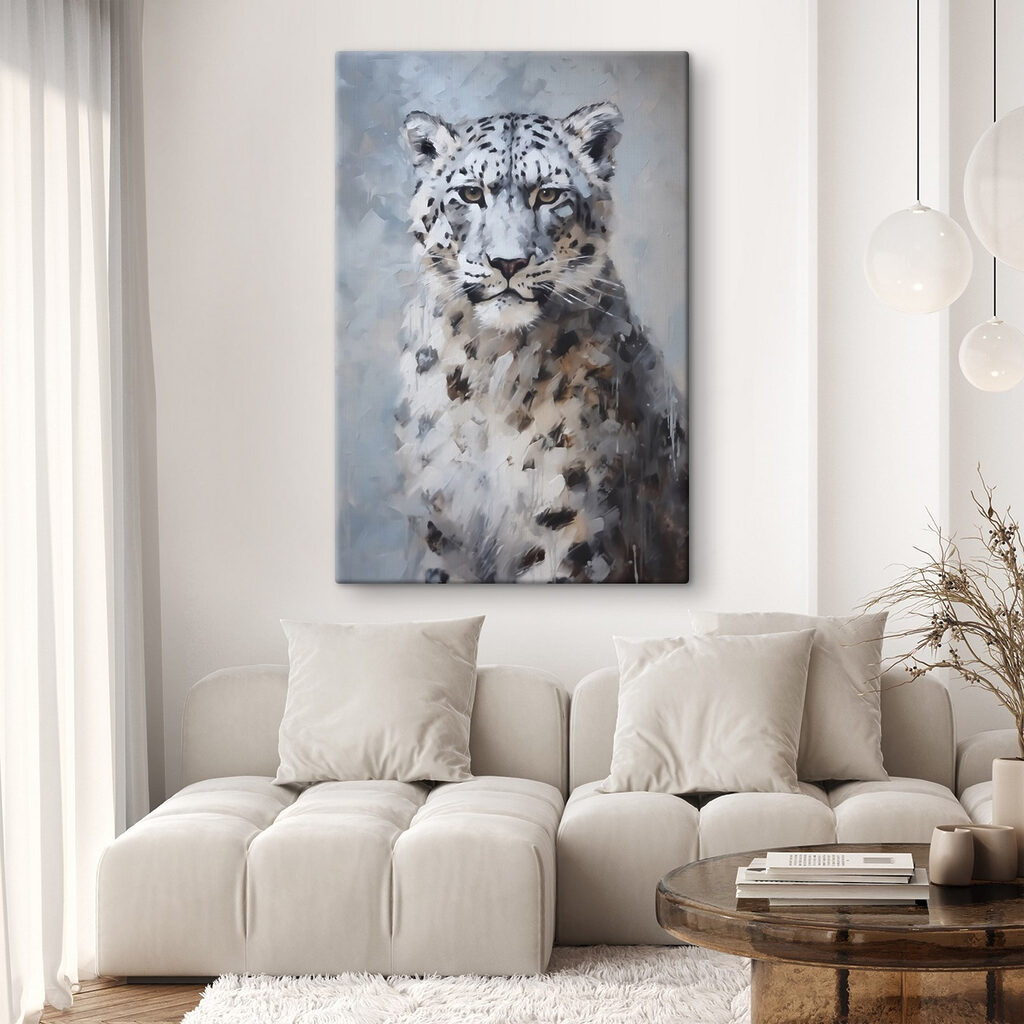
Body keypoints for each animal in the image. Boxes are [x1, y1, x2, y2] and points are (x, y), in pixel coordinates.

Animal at [392, 101, 688, 583]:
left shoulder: (565, 523)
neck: (489, 366)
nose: (508, 262)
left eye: (548, 195)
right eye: (471, 193)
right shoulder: (441, 525)